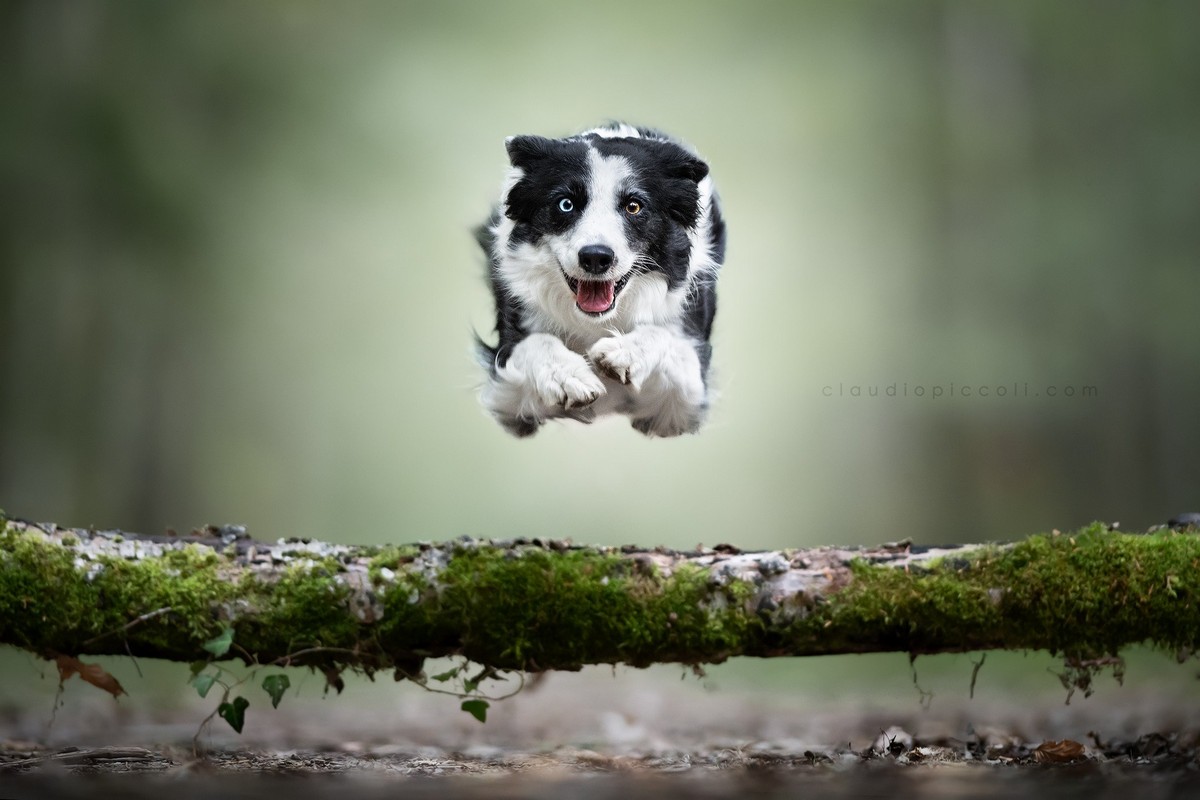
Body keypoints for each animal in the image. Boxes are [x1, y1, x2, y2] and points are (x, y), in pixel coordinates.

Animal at [475, 123, 720, 438]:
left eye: (634, 207)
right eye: (565, 204)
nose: (595, 257)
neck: (597, 322)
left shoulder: (686, 400)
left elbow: (668, 339)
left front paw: (622, 354)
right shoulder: (504, 393)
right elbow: (532, 343)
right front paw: (569, 377)